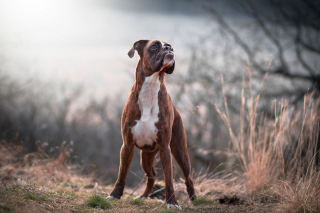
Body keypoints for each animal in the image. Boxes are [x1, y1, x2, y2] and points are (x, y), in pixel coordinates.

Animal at [107, 39, 196, 210]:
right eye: (154, 46)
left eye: (170, 46)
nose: (169, 48)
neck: (150, 87)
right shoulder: (127, 145)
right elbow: (122, 174)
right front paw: (115, 195)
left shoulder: (165, 148)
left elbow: (169, 179)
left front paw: (172, 203)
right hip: (146, 158)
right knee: (152, 176)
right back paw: (143, 196)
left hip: (180, 152)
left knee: (188, 178)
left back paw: (194, 199)